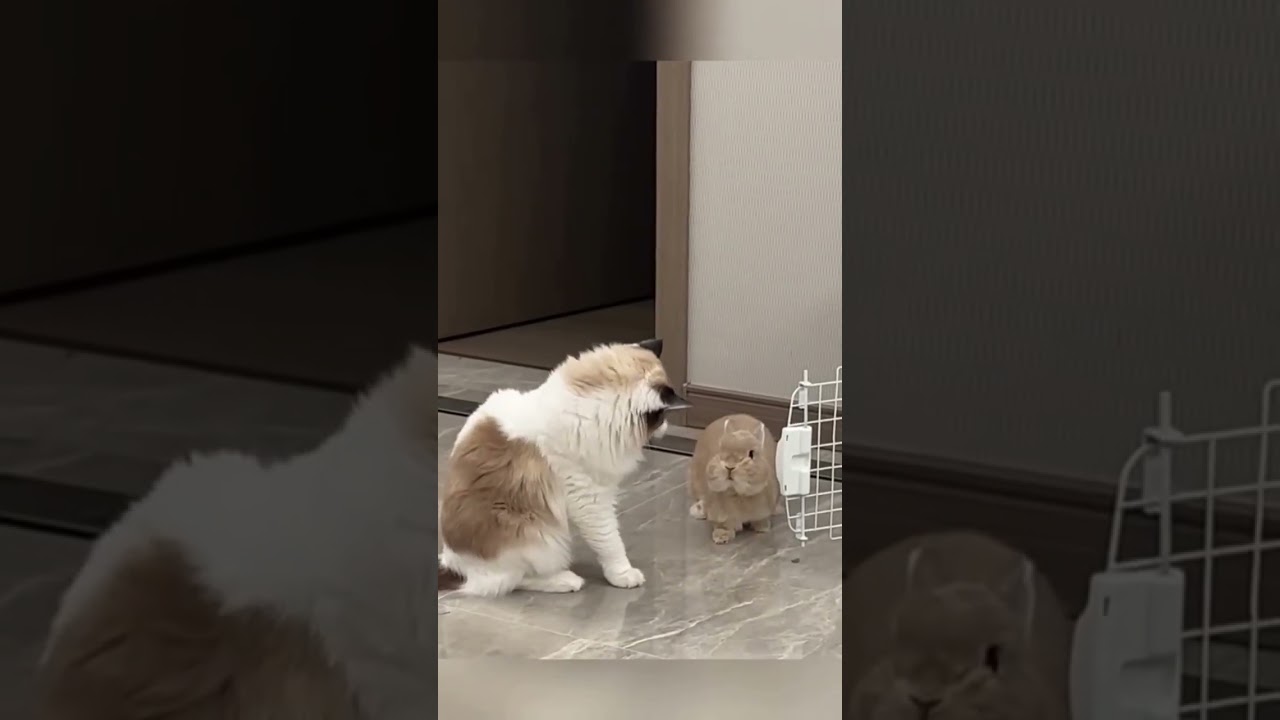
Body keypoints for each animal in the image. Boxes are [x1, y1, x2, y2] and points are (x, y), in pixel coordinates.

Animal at [688, 413, 780, 544]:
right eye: (721, 449)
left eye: (751, 454)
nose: (729, 467)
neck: (737, 492)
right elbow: (722, 525)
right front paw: (721, 537)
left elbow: (761, 520)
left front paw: (763, 528)